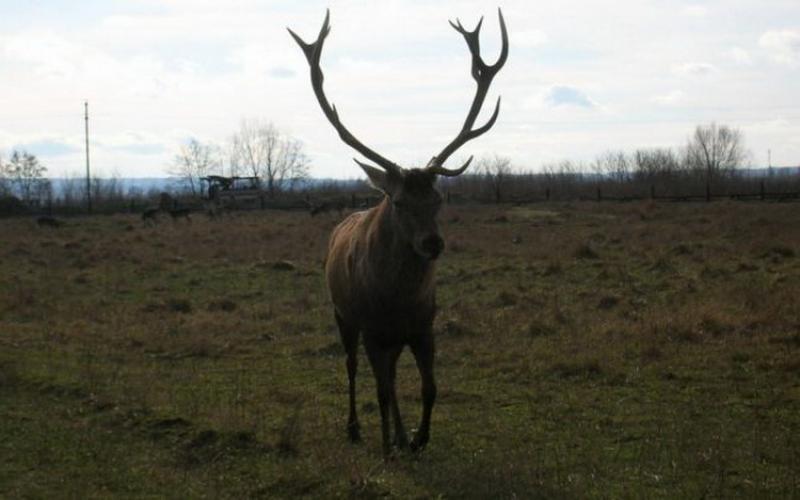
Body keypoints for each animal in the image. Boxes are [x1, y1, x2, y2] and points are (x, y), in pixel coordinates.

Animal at [290, 8, 510, 458]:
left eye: (439, 198)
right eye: (399, 202)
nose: (433, 242)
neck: (398, 301)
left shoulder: (424, 328)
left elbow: (429, 388)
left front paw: (418, 437)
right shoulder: (373, 331)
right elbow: (380, 390)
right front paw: (388, 447)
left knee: (390, 379)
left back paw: (400, 434)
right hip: (343, 315)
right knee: (355, 369)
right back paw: (358, 429)